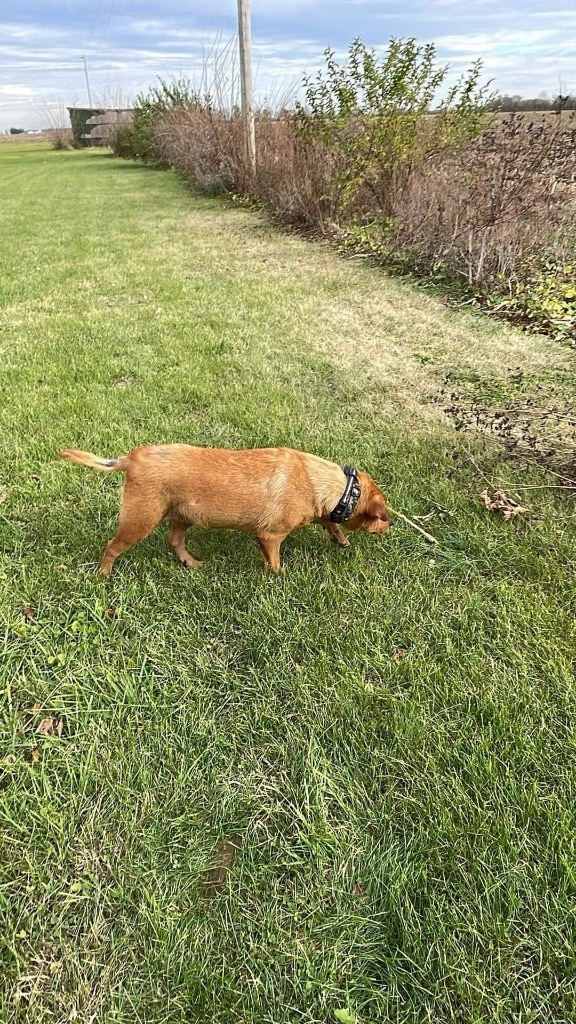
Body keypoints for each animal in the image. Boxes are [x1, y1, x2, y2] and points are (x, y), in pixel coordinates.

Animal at [58, 444, 387, 577]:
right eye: (380, 517)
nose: (390, 525)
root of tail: (131, 458)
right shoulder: (270, 536)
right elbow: (275, 564)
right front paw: (279, 578)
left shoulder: (323, 512)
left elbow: (330, 523)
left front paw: (340, 539)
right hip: (140, 520)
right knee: (112, 546)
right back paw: (104, 575)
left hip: (181, 517)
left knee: (174, 541)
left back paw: (191, 563)